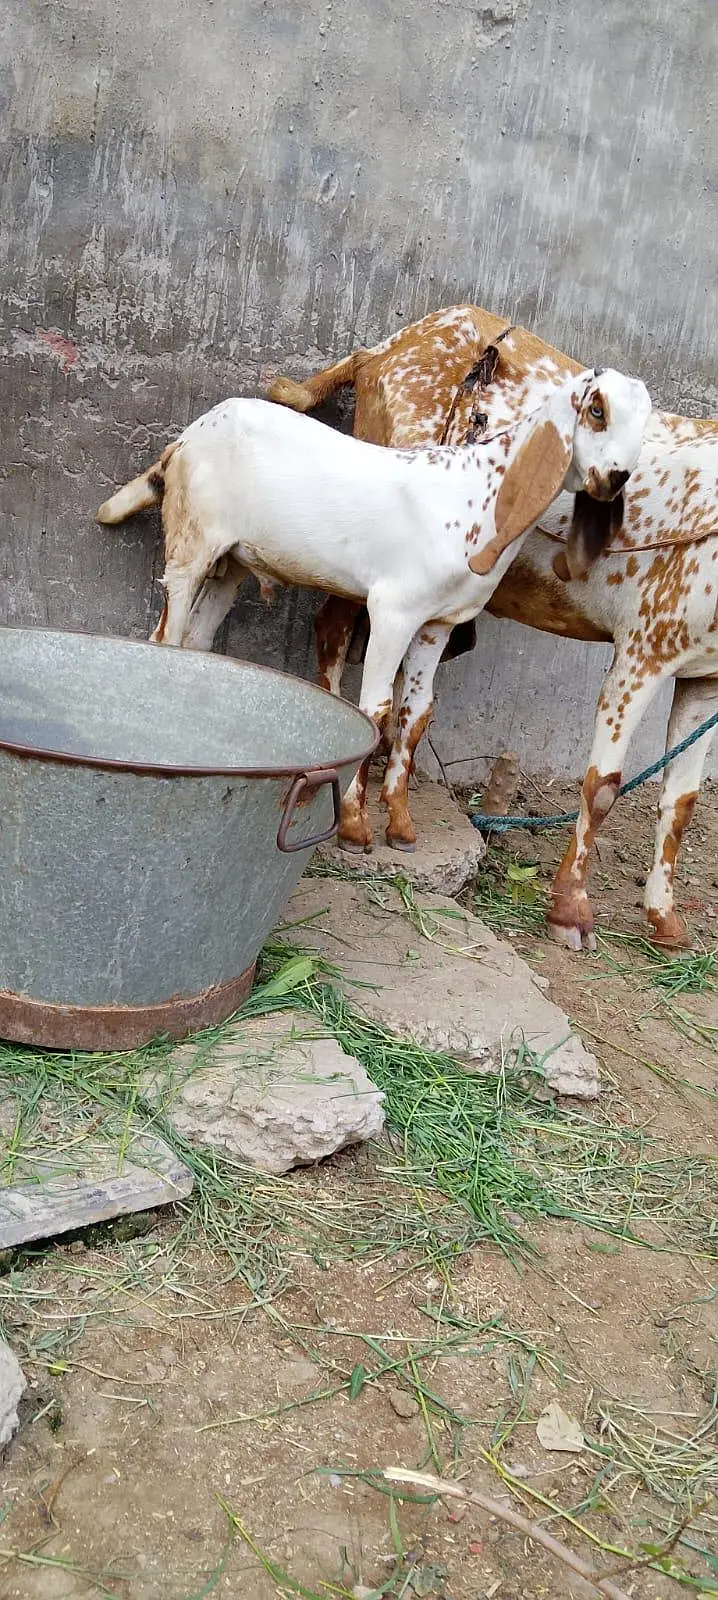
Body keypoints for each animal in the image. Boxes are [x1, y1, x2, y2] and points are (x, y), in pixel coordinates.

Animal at [96, 366, 651, 855]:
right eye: (597, 410)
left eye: (644, 428)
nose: (614, 478)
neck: (478, 498)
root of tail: (188, 437)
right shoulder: (393, 609)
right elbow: (375, 708)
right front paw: (355, 825)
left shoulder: (437, 622)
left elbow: (416, 711)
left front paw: (401, 826)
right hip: (193, 541)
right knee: (166, 635)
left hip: (232, 561)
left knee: (198, 641)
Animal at [269, 306, 718, 950]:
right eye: (597, 412)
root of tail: (388, 346)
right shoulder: (644, 649)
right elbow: (605, 784)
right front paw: (570, 911)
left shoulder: (704, 674)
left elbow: (682, 800)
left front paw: (664, 919)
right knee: (333, 632)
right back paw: (352, 808)